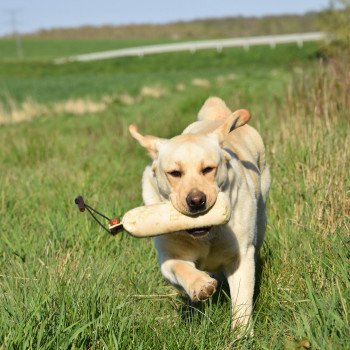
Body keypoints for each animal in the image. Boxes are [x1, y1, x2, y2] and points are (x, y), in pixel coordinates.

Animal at [129, 97, 270, 332]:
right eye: (175, 173)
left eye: (208, 169)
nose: (196, 201)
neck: (207, 235)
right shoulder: (168, 257)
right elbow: (179, 267)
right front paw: (201, 285)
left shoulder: (241, 254)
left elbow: (241, 300)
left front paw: (241, 334)